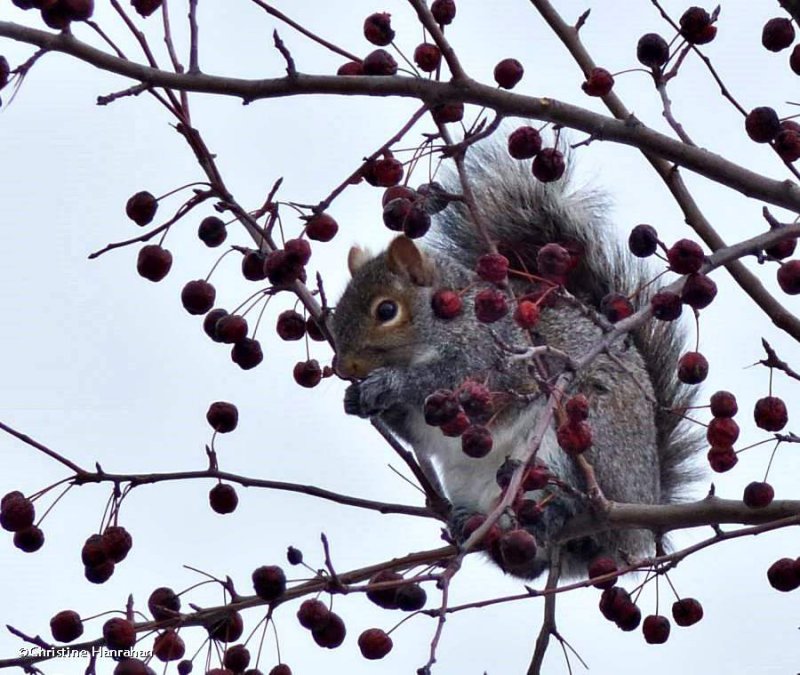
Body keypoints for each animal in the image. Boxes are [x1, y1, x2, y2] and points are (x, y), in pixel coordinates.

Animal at [332, 148, 700, 580]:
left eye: (386, 310)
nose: (344, 366)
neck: (454, 318)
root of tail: (644, 518)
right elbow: (416, 433)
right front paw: (357, 400)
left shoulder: (499, 359)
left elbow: (458, 384)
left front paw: (391, 383)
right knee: (528, 565)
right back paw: (471, 525)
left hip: (576, 443)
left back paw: (557, 511)